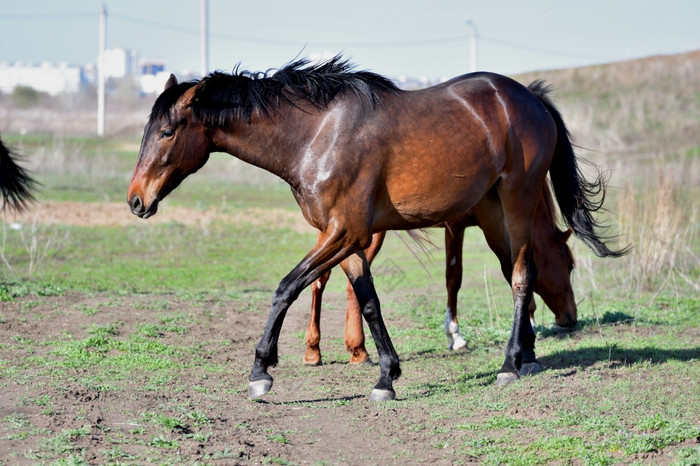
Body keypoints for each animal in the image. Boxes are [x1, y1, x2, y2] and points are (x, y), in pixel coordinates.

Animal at [304, 182, 576, 372]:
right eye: (570, 265)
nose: (570, 317)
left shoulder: (460, 227)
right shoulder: (474, 225)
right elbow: (464, 276)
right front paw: (458, 335)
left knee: (320, 280)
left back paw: (316, 349)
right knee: (346, 283)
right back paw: (355, 349)